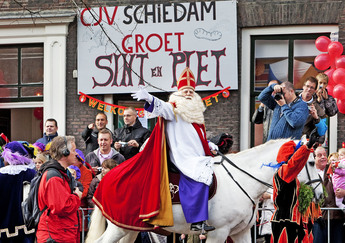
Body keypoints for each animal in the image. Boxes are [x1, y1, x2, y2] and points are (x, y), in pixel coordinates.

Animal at [85, 139, 322, 243]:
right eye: (310, 162)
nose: (320, 196)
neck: (242, 180)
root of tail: (107, 175)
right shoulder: (218, 233)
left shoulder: (241, 232)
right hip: (119, 227)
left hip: (130, 229)